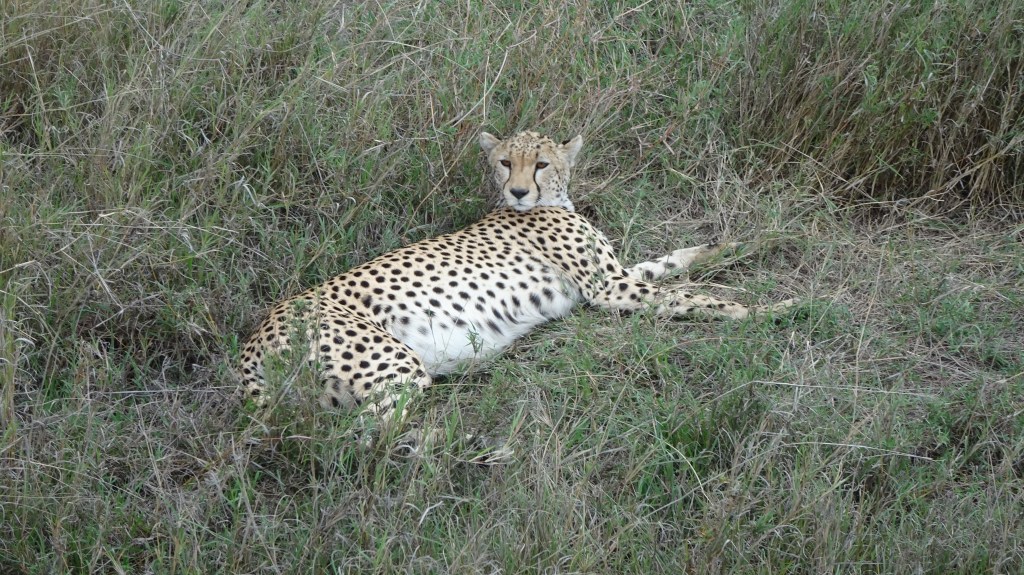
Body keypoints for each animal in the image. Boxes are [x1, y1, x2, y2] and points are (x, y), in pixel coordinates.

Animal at [237, 130, 796, 447]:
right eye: (506, 162)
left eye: (541, 163)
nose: (520, 190)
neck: (549, 201)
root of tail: (254, 337)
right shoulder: (608, 289)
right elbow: (691, 297)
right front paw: (771, 309)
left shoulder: (616, 277)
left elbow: (678, 260)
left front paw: (758, 241)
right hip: (395, 364)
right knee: (360, 435)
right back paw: (469, 445)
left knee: (356, 430)